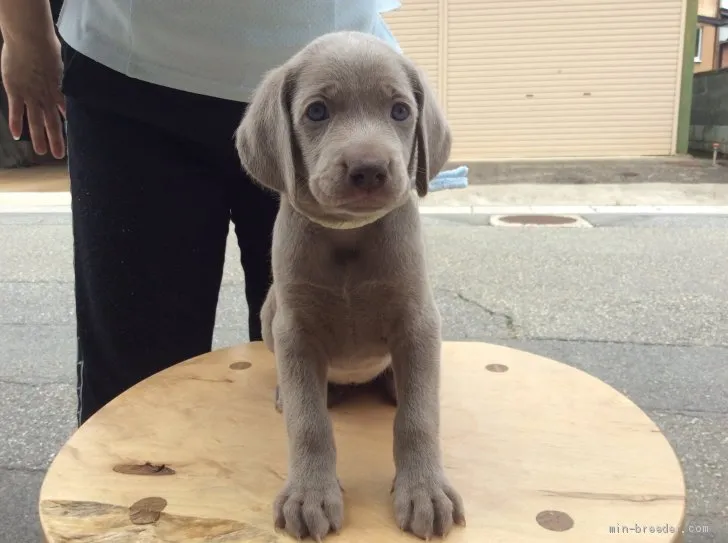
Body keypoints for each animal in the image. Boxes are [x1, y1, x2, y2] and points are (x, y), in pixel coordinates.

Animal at [239, 30, 466, 543]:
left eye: (400, 111)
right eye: (317, 112)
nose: (369, 169)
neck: (348, 238)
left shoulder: (419, 322)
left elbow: (418, 419)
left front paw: (424, 491)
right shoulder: (294, 331)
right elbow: (309, 423)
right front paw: (309, 495)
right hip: (269, 312)